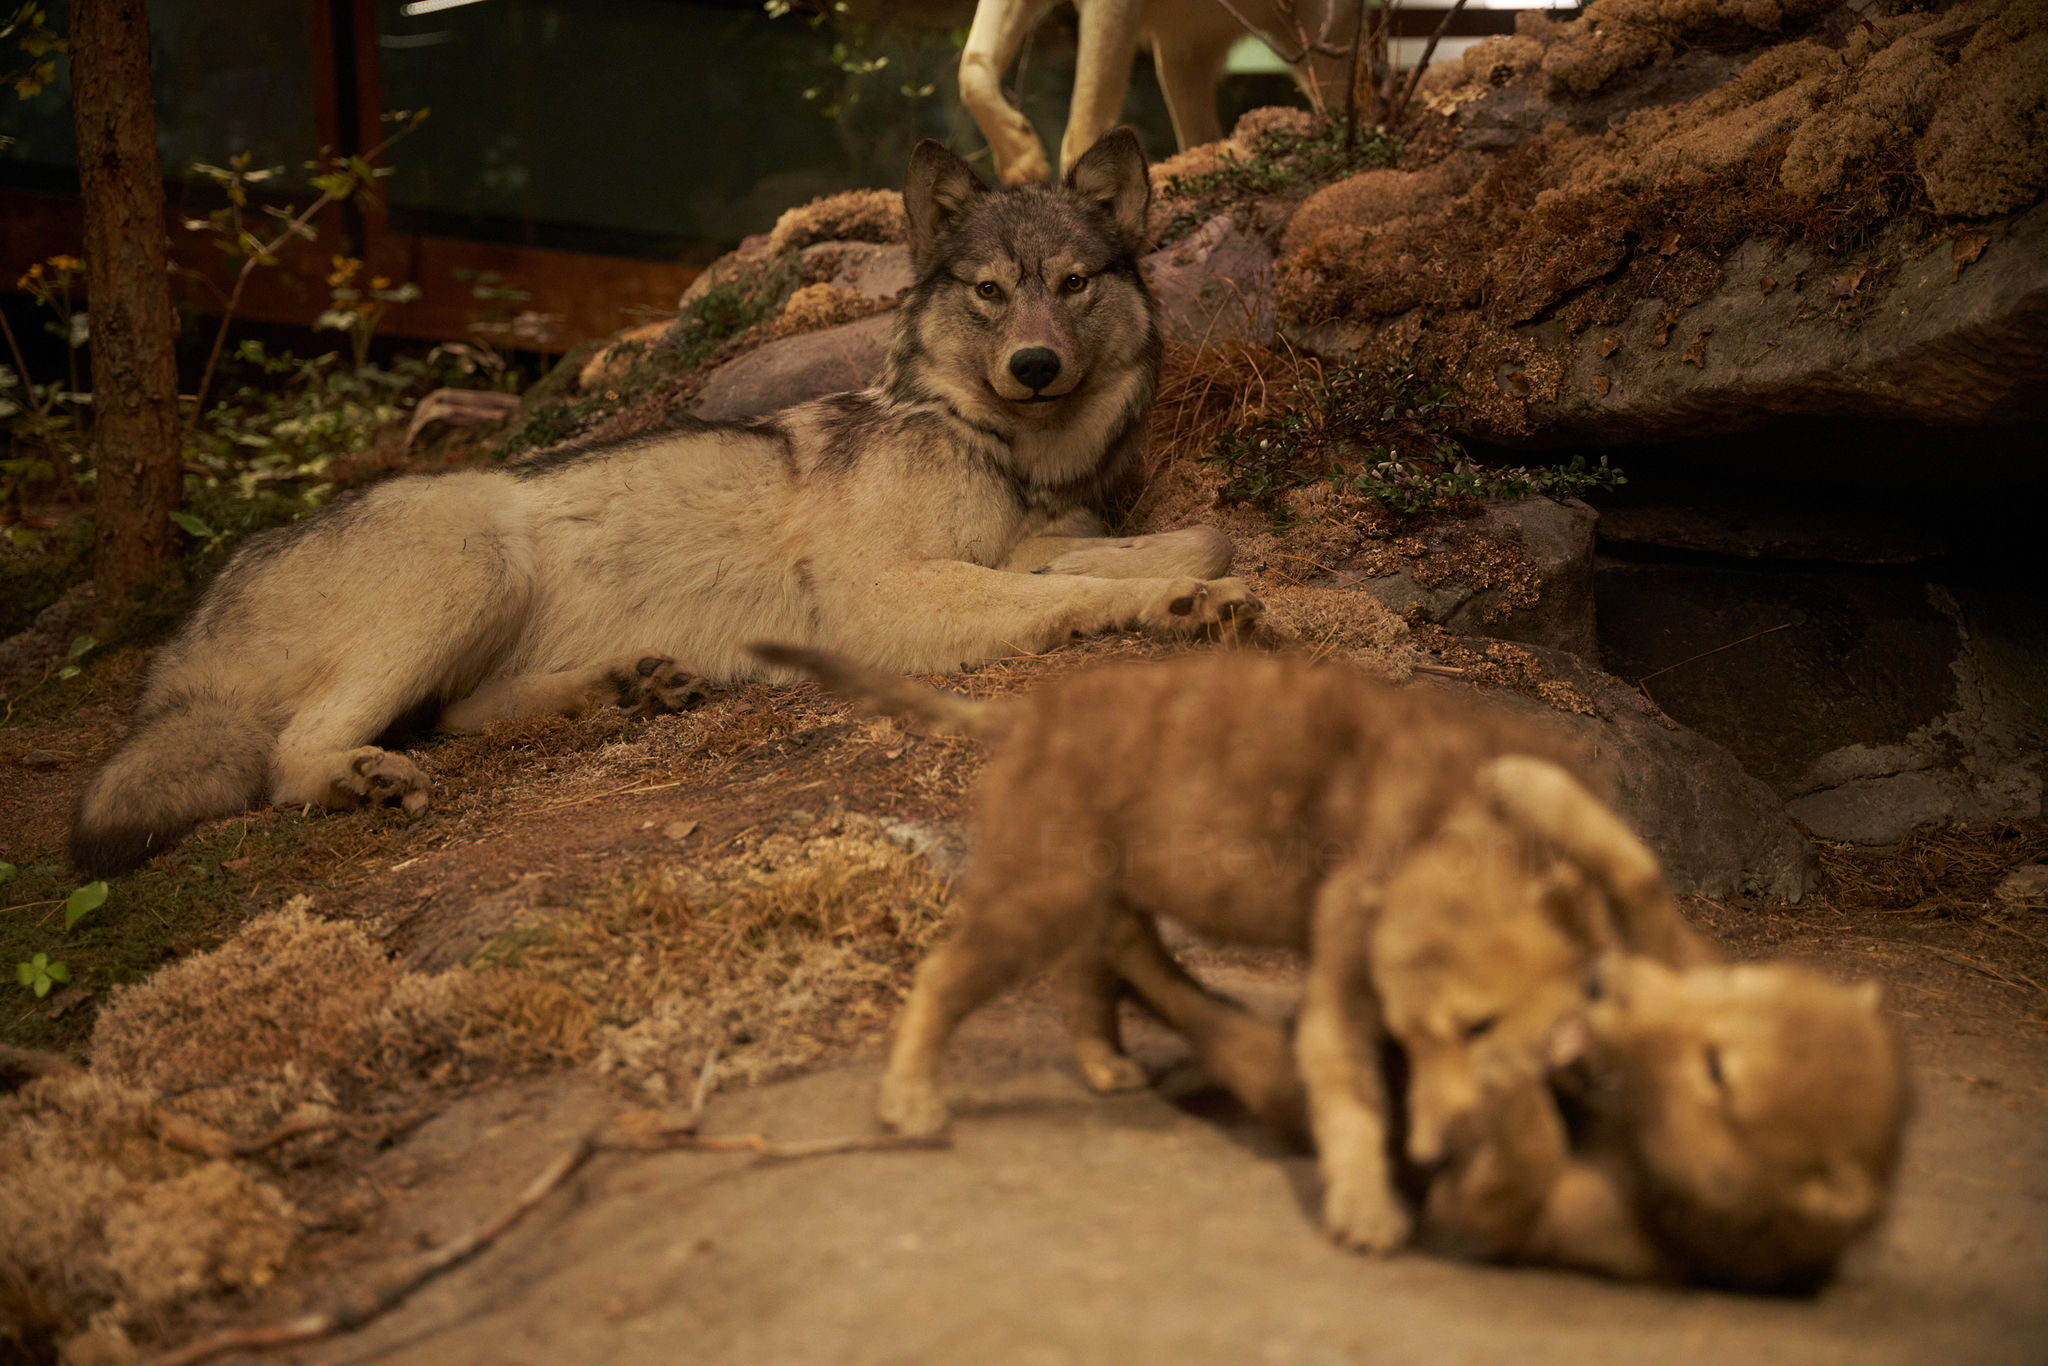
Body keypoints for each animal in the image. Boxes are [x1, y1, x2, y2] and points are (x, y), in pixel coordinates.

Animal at [72, 127, 1253, 876]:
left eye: (1073, 284)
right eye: (990, 292)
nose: (1035, 366)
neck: (1004, 452)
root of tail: (190, 623)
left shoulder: (1023, 547)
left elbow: (1186, 542)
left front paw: (1195, 591)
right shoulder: (883, 600)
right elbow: (1063, 597)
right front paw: (1169, 608)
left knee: (453, 715)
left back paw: (631, 686)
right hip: (472, 565)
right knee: (291, 757)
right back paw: (363, 778)